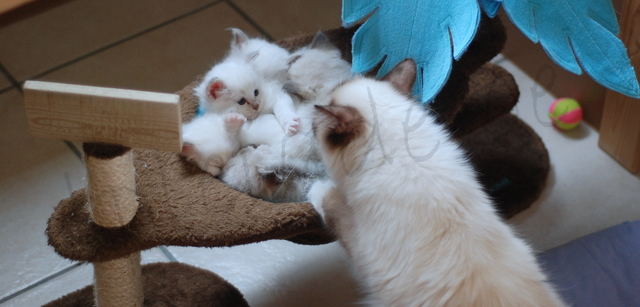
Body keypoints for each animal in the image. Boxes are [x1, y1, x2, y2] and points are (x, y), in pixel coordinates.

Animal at [310, 59, 564, 306]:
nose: (309, 121)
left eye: (314, 127)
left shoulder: (361, 247)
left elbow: (332, 204)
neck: (406, 160)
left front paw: (316, 188)